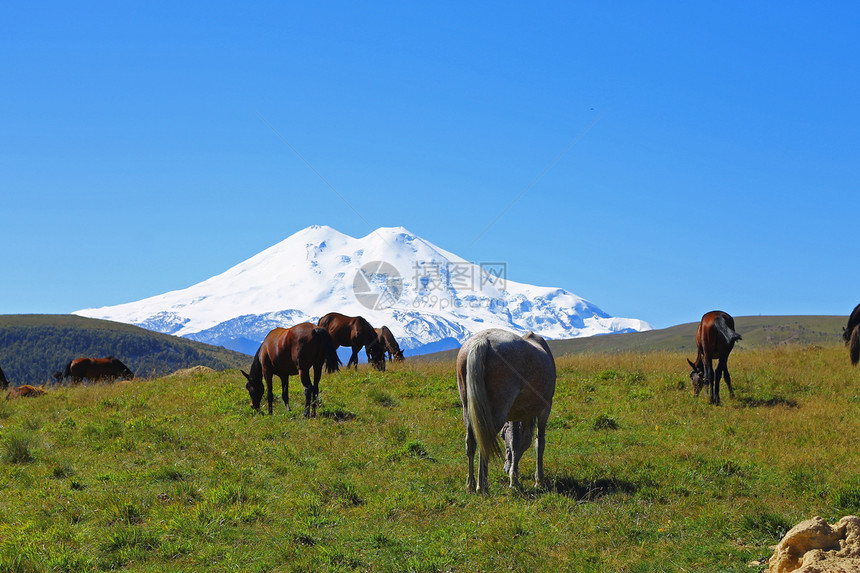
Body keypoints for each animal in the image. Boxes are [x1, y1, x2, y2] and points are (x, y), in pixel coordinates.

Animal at [456, 328, 556, 494]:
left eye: (503, 437)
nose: (506, 468)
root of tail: (482, 340)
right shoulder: (545, 409)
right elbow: (539, 443)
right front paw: (538, 481)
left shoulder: (515, 415)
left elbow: (515, 443)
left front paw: (514, 480)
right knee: (484, 441)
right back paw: (482, 487)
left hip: (467, 410)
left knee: (471, 441)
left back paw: (470, 485)